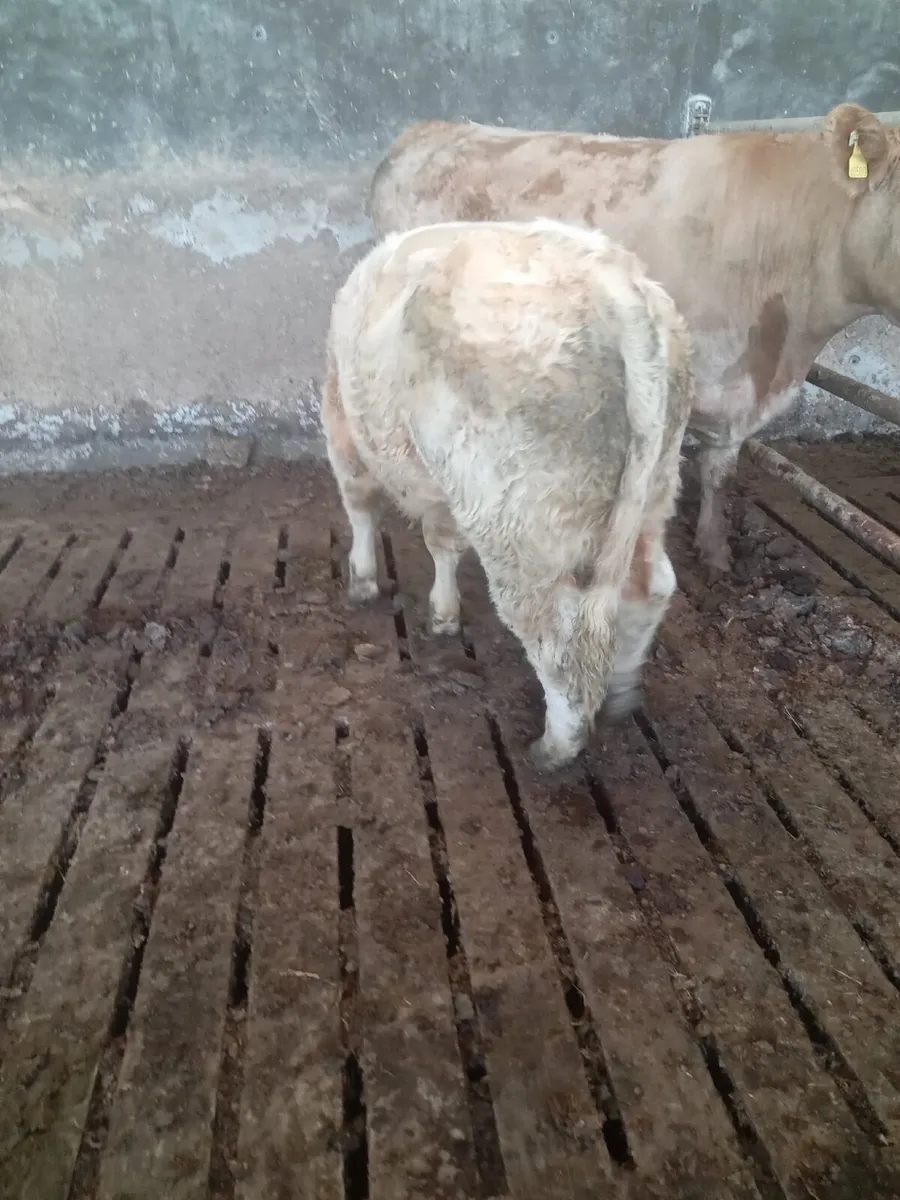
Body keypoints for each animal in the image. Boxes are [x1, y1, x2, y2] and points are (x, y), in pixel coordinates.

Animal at [323, 218, 693, 770]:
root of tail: (616, 284)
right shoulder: (444, 486)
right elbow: (442, 542)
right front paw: (443, 613)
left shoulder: (342, 426)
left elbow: (361, 506)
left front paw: (365, 581)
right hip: (655, 487)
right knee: (651, 588)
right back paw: (620, 694)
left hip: (521, 527)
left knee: (556, 639)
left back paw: (554, 748)